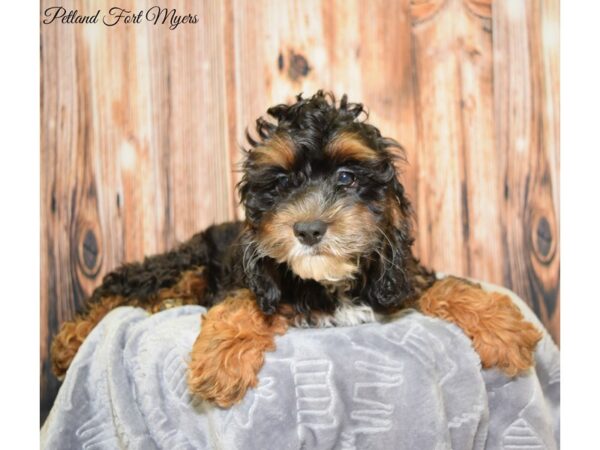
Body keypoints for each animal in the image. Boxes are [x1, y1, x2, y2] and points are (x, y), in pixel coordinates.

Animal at [51, 91, 540, 408]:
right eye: (283, 183)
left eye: (346, 177)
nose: (308, 229)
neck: (330, 281)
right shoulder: (248, 278)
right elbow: (243, 301)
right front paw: (221, 359)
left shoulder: (394, 276)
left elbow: (446, 286)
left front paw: (502, 326)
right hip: (187, 260)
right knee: (121, 287)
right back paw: (69, 341)